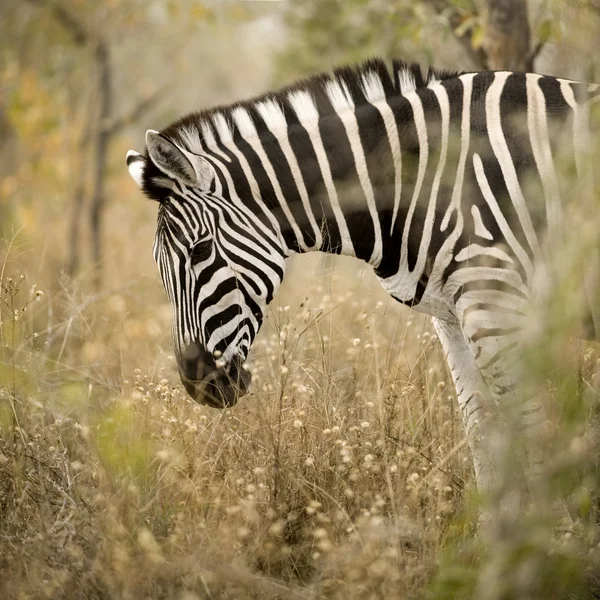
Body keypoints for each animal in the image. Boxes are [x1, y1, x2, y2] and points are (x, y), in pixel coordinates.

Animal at [124, 59, 596, 502]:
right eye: (160, 268)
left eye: (200, 251)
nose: (198, 385)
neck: (416, 178)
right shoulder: (452, 317)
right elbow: (481, 429)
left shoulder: (494, 304)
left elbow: (531, 430)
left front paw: (547, 532)